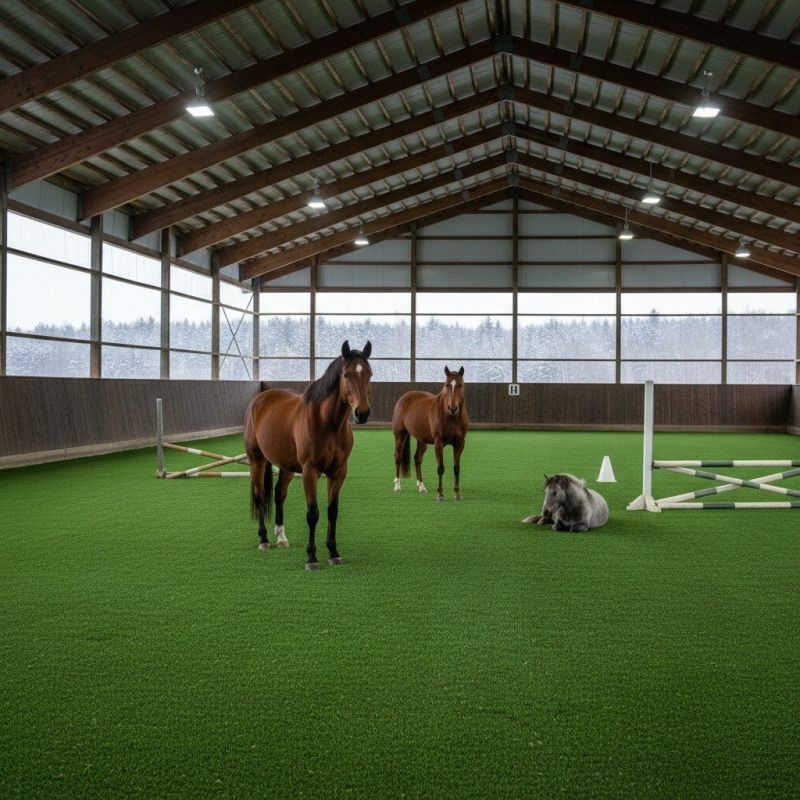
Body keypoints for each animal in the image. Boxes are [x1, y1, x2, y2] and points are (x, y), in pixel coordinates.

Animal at [243, 341, 373, 570]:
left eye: (369, 374)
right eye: (346, 375)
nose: (362, 413)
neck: (327, 423)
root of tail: (259, 398)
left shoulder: (339, 471)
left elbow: (332, 511)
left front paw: (333, 552)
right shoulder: (309, 471)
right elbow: (313, 514)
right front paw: (311, 557)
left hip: (285, 466)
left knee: (279, 494)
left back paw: (281, 537)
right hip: (256, 460)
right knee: (260, 495)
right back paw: (264, 539)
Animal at [392, 365, 468, 501]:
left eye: (460, 385)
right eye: (447, 385)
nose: (453, 408)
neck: (451, 417)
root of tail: (404, 398)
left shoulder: (460, 443)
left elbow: (456, 468)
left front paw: (457, 493)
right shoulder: (439, 443)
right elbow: (440, 468)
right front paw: (440, 494)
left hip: (422, 440)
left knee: (417, 459)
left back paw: (421, 486)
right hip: (400, 435)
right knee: (398, 457)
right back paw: (397, 485)